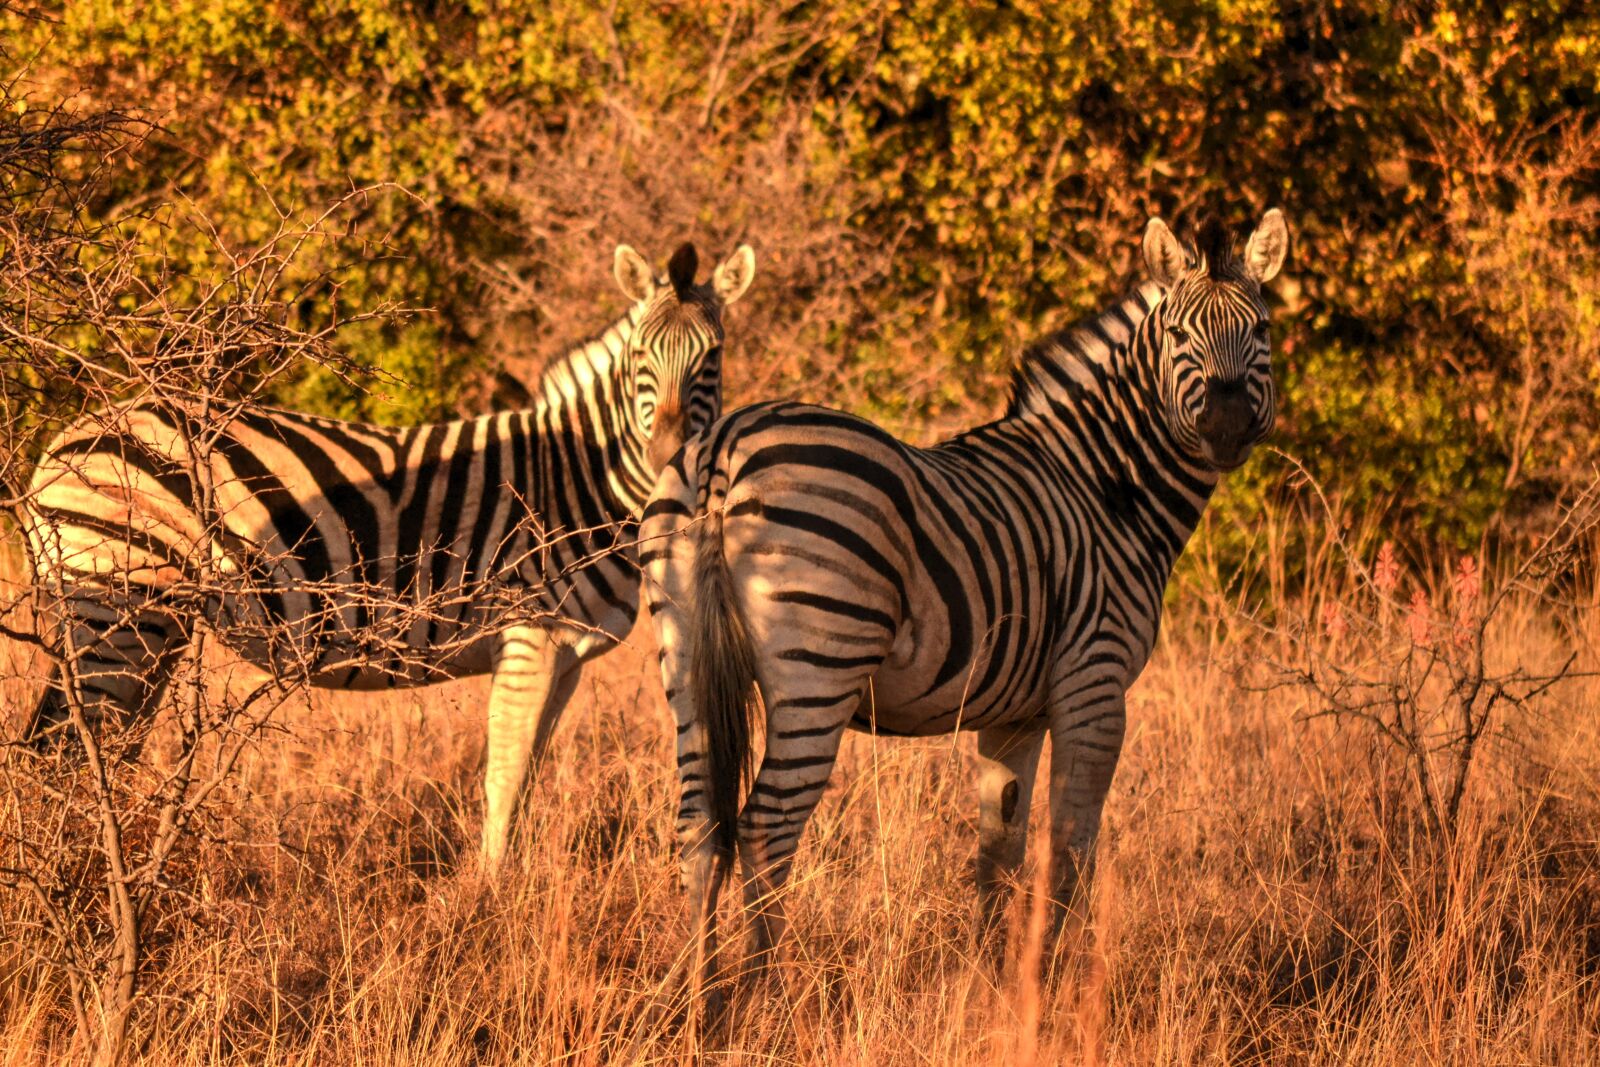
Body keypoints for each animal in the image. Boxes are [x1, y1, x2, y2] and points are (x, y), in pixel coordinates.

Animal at [21, 240, 756, 871]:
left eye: (713, 357)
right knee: (61, 750)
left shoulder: (567, 656)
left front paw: (502, 890)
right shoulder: (530, 635)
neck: (582, 474)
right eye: (640, 356)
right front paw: (488, 903)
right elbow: (504, 779)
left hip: (153, 622)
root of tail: (67, 438)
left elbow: (525, 782)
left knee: (97, 746)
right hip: (113, 603)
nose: (667, 459)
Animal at [641, 210, 1288, 985]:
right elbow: (1070, 846)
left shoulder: (1014, 714)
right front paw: (1057, 983)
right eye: (1179, 335)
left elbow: (997, 850)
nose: (1226, 426)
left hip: (684, 656)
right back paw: (756, 993)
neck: (1107, 488)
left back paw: (698, 990)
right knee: (766, 826)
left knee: (698, 823)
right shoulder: (1094, 686)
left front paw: (992, 980)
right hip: (817, 663)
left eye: (1261, 330)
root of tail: (721, 449)